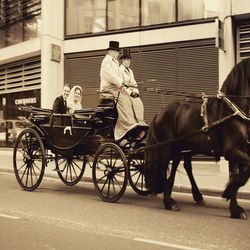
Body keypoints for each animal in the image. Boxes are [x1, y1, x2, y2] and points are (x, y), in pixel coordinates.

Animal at [144, 57, 250, 220]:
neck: (234, 110)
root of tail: (161, 110)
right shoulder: (232, 151)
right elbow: (243, 173)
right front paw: (228, 194)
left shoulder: (238, 151)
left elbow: (239, 175)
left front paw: (234, 207)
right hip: (167, 147)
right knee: (163, 169)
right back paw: (169, 201)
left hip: (180, 146)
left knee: (180, 166)